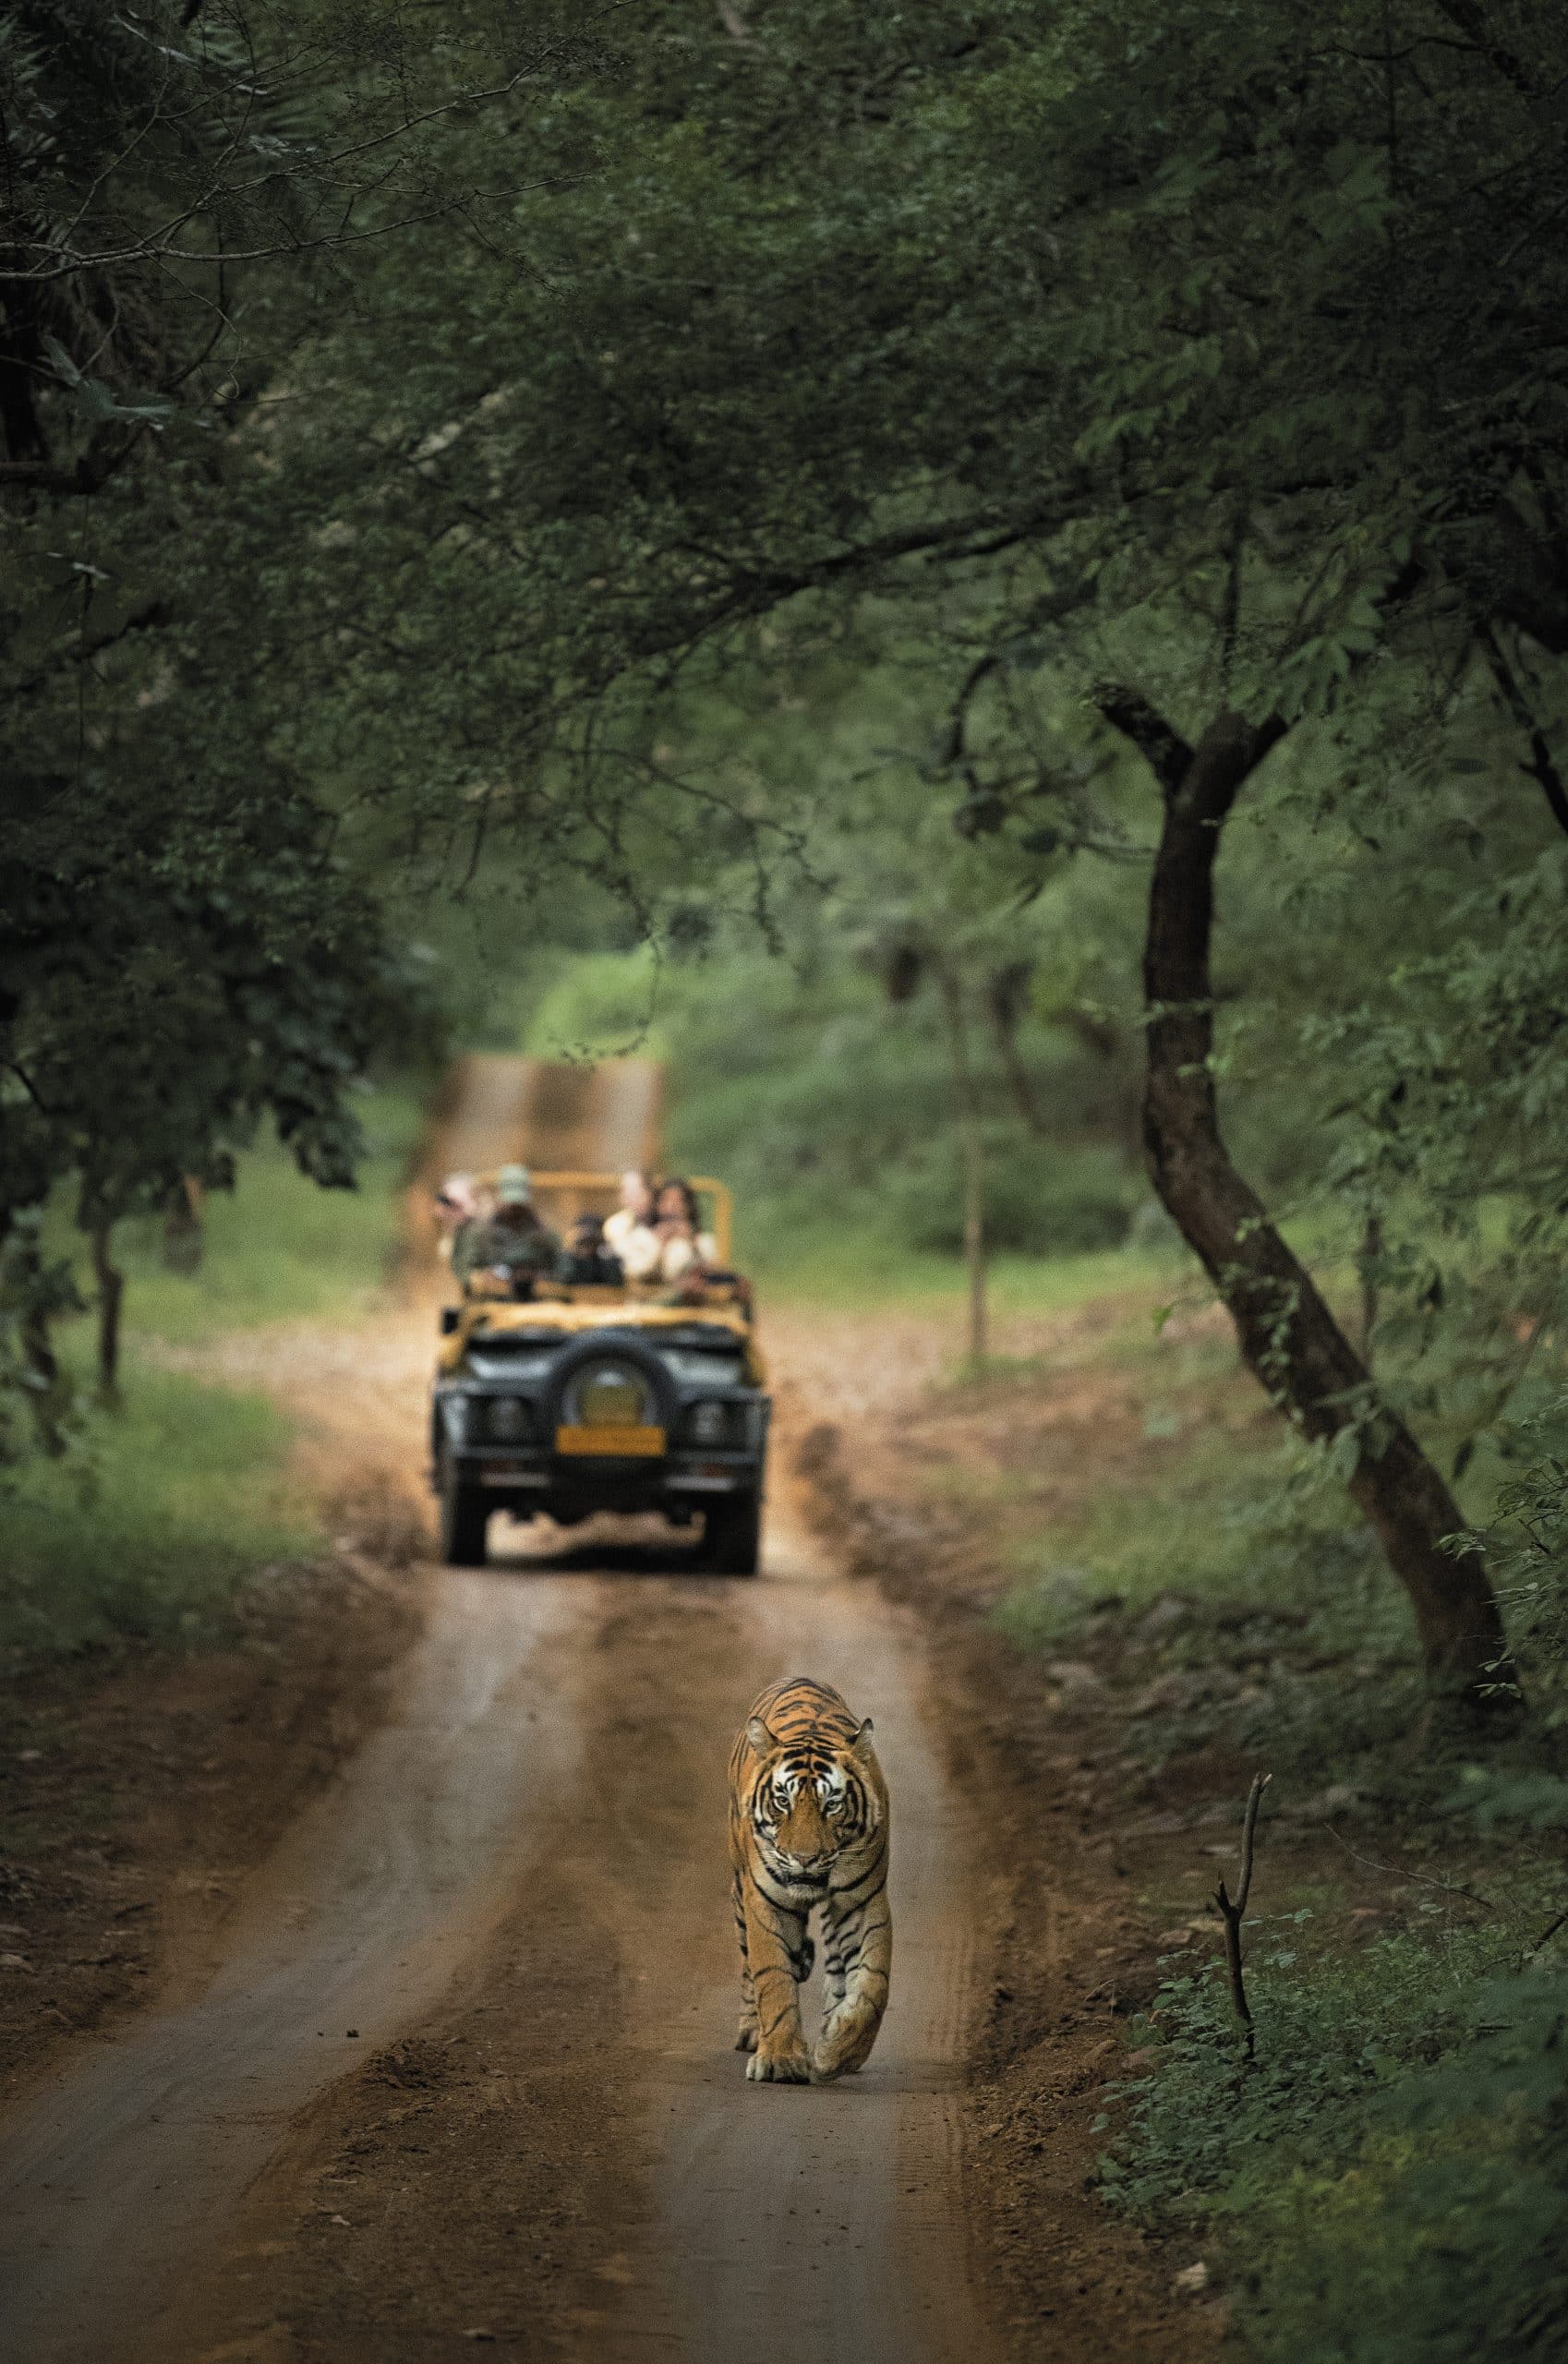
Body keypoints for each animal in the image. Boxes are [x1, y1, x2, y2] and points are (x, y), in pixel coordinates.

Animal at [728, 1673, 888, 2080]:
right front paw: (780, 2059)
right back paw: (751, 2032)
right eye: (782, 1801)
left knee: (836, 1968)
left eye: (832, 1804)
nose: (804, 1859)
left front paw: (838, 2052)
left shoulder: (862, 1902)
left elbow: (874, 1985)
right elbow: (773, 1977)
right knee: (748, 1966)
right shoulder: (764, 1902)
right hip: (739, 1891)